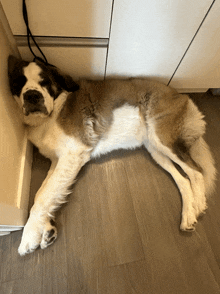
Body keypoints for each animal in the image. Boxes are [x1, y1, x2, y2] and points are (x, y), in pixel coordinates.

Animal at [7, 54, 216, 255]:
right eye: (18, 83)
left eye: (44, 82)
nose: (32, 95)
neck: (54, 110)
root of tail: (181, 95)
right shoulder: (57, 161)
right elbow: (44, 192)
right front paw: (46, 230)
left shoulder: (72, 154)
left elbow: (43, 196)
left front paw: (29, 236)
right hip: (154, 148)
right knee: (183, 179)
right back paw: (188, 215)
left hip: (162, 138)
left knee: (196, 171)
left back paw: (199, 204)